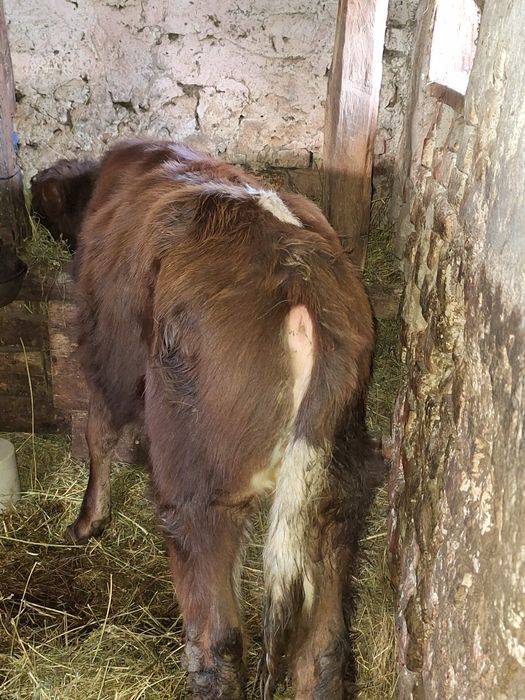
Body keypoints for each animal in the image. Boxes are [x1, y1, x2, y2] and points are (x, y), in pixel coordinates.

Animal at [65, 139, 384, 699]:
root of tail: (300, 275)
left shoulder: (109, 352)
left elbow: (98, 432)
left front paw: (88, 522)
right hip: (335, 487)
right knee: (322, 647)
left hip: (199, 486)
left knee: (218, 638)